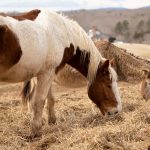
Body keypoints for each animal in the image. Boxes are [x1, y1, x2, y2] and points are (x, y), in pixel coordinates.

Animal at [0, 9, 122, 137]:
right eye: (108, 85)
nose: (116, 111)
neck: (62, 35)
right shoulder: (48, 73)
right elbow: (39, 101)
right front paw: (36, 130)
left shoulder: (47, 73)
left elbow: (49, 99)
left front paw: (51, 121)